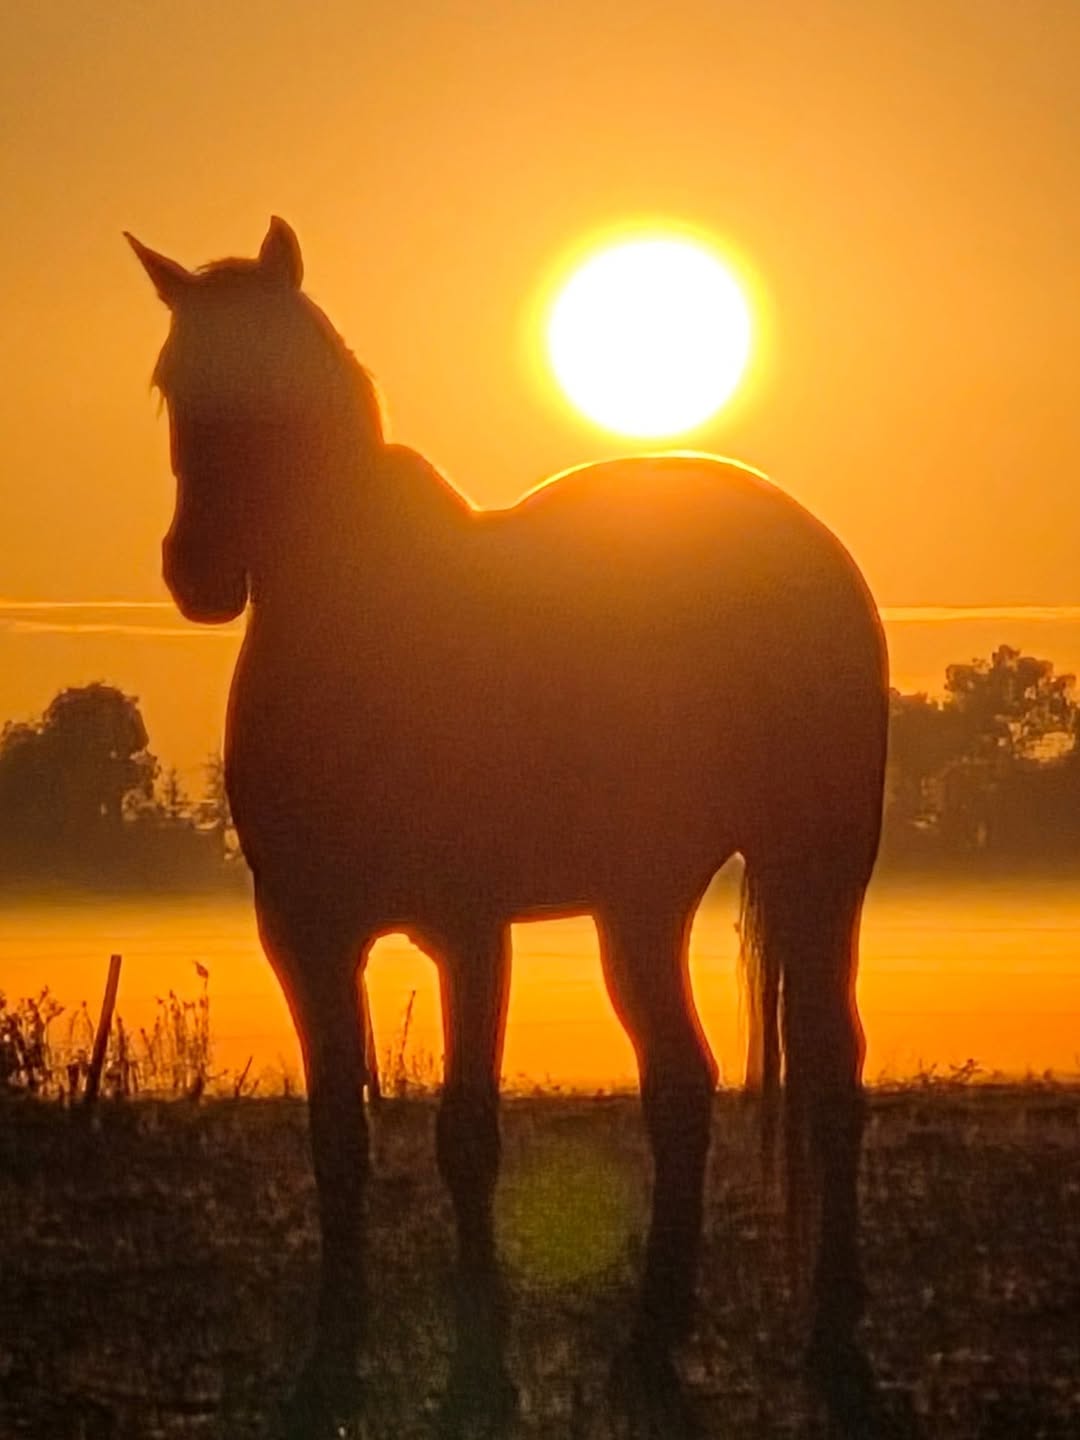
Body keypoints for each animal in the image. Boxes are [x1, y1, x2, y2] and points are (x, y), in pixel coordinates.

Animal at [127, 217, 889, 1438]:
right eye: (171, 384)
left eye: (277, 384)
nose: (197, 572)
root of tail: (811, 548)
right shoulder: (303, 932)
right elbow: (336, 1139)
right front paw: (333, 1348)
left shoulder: (468, 930)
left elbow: (467, 1136)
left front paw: (481, 1361)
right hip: (642, 900)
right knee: (682, 1085)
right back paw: (652, 1333)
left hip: (813, 872)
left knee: (828, 1073)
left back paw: (828, 1324)